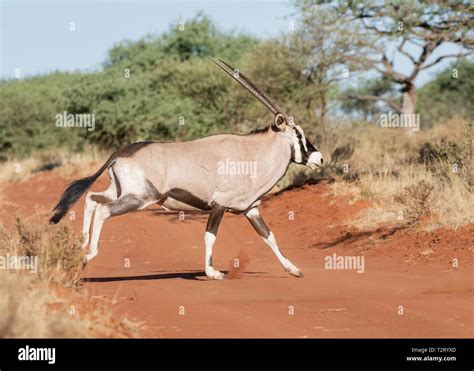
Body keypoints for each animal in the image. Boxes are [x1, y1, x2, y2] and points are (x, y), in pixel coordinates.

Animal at [51, 57, 324, 280]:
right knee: (104, 211)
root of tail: (120, 154)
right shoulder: (220, 205)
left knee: (91, 198)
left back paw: (82, 244)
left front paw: (294, 270)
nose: (319, 159)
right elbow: (209, 235)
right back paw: (88, 255)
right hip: (140, 197)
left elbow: (269, 236)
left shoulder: (250, 209)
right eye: (299, 134)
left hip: (119, 192)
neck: (252, 155)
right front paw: (212, 272)